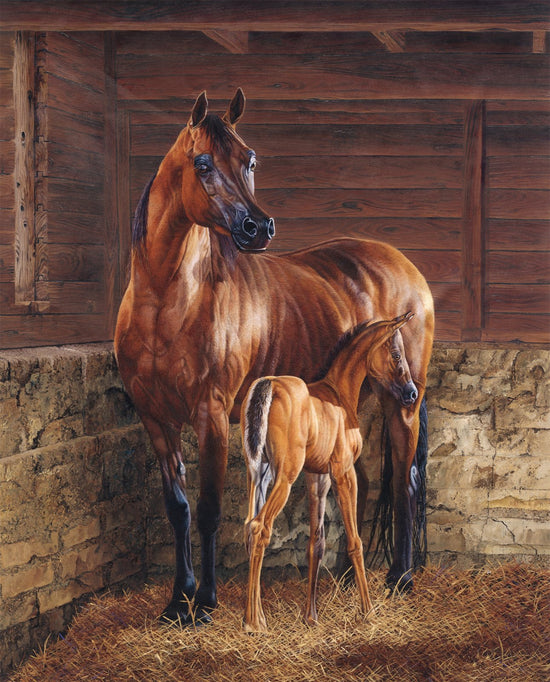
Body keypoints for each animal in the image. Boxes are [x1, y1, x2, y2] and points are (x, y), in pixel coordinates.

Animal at [241, 313, 417, 632]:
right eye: (397, 354)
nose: (412, 393)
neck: (339, 392)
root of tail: (269, 384)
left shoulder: (317, 477)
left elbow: (316, 542)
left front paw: (311, 616)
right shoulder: (343, 473)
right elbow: (355, 541)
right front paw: (368, 611)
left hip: (258, 474)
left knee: (249, 526)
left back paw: (256, 616)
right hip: (284, 477)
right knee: (260, 527)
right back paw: (254, 623)